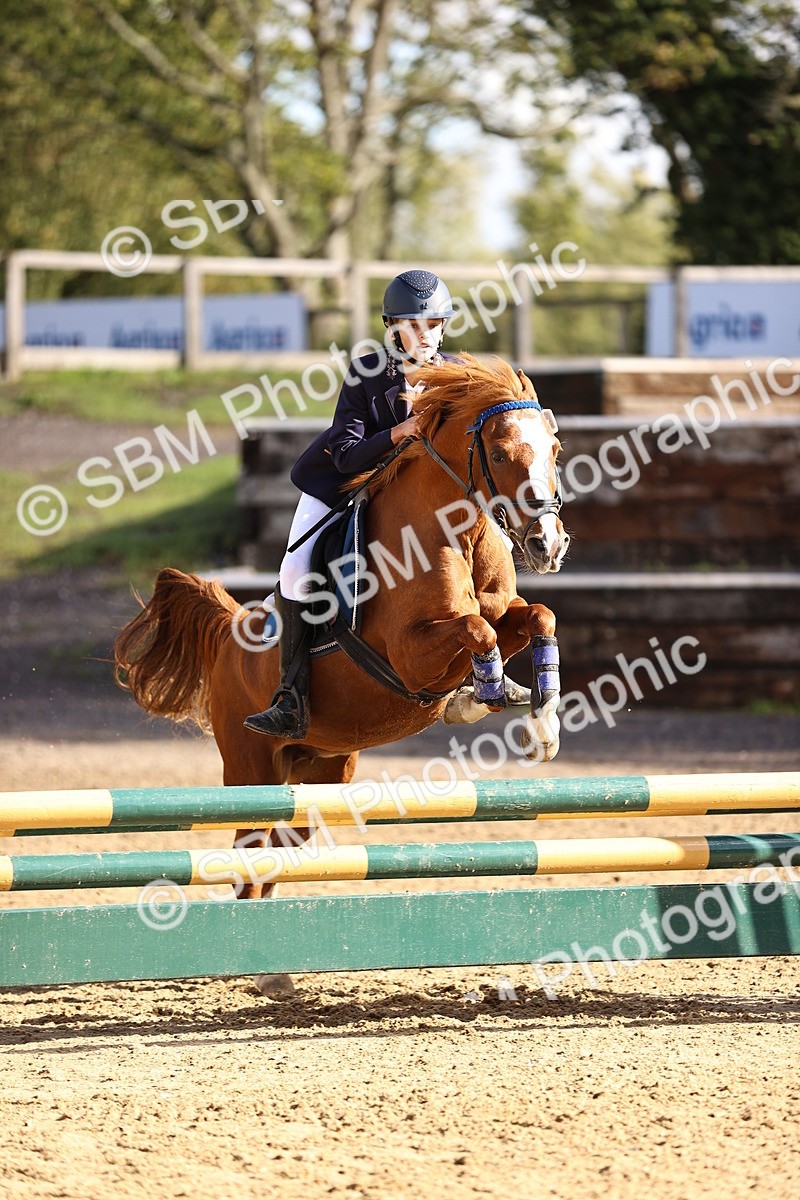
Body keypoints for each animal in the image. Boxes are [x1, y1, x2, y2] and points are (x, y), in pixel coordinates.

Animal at [113, 355, 570, 933]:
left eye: (554, 450)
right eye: (499, 453)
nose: (548, 544)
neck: (455, 532)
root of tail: (230, 630)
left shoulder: (501, 614)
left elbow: (536, 617)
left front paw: (540, 725)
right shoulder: (412, 658)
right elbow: (476, 630)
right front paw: (478, 700)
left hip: (320, 774)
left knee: (276, 853)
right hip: (251, 769)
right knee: (249, 852)